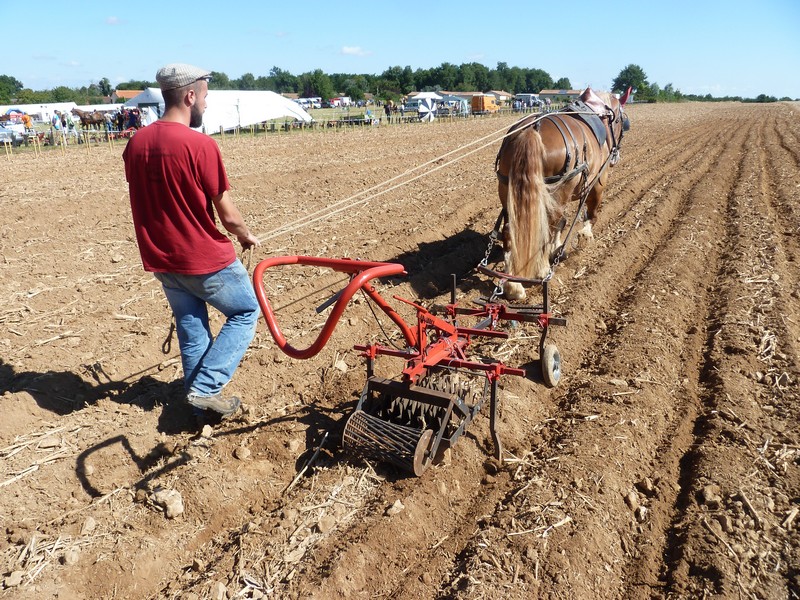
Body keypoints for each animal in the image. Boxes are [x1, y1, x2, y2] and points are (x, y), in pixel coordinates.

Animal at [494, 86, 632, 302]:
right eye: (621, 121)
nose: (615, 155)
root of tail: (532, 130)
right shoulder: (598, 182)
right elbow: (591, 214)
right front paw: (585, 236)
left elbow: (563, 222)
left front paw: (557, 248)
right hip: (558, 191)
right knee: (549, 225)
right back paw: (541, 271)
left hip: (508, 191)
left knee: (511, 232)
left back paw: (513, 285)